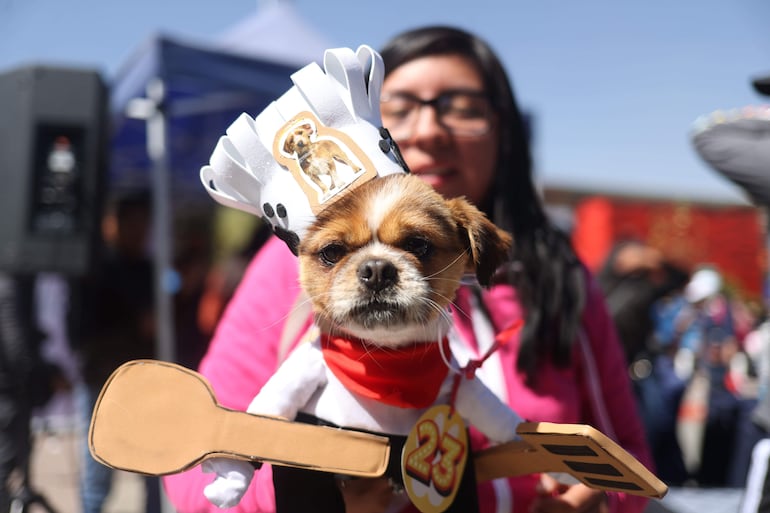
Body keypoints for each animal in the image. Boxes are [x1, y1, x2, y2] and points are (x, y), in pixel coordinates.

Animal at [202, 174, 520, 510]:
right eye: (332, 252)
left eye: (418, 244)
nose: (377, 269)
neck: (385, 360)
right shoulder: (305, 372)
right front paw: (230, 479)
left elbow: (497, 417)